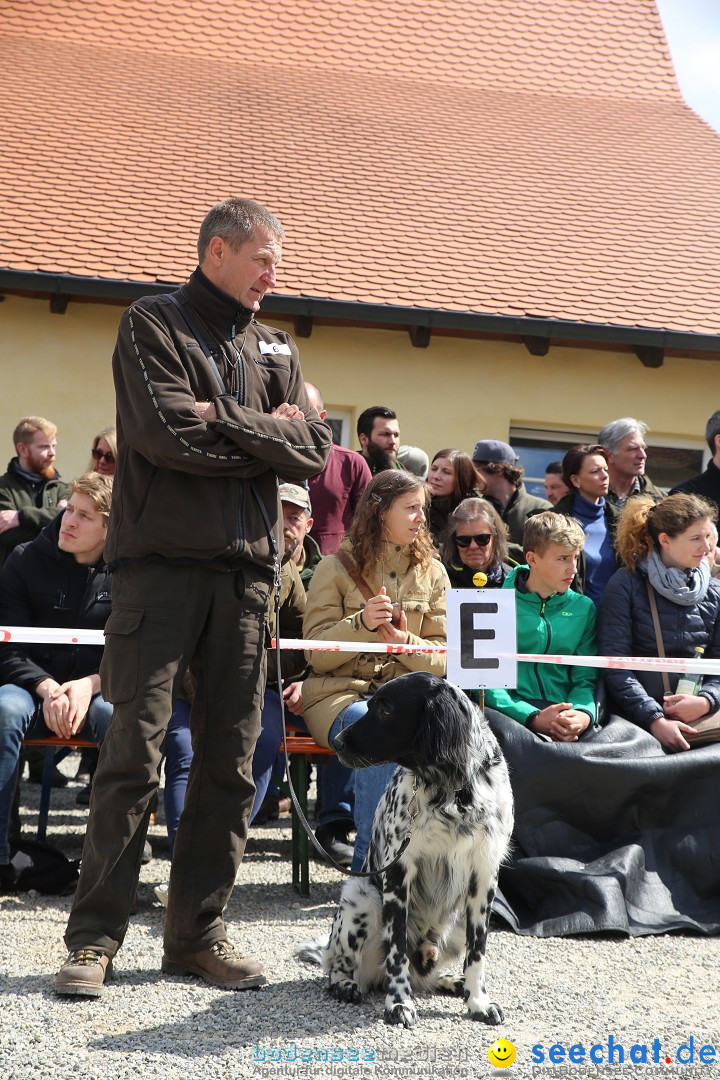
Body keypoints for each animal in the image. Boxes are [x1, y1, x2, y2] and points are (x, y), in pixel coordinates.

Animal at [297, 665, 511, 1028]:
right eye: (369, 704)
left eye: (386, 709)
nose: (337, 742)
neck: (452, 792)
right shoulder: (398, 874)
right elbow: (396, 954)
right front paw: (399, 1004)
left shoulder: (484, 876)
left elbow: (478, 953)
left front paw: (478, 1001)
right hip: (361, 901)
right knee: (338, 964)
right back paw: (345, 984)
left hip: (455, 923)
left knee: (428, 974)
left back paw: (452, 982)